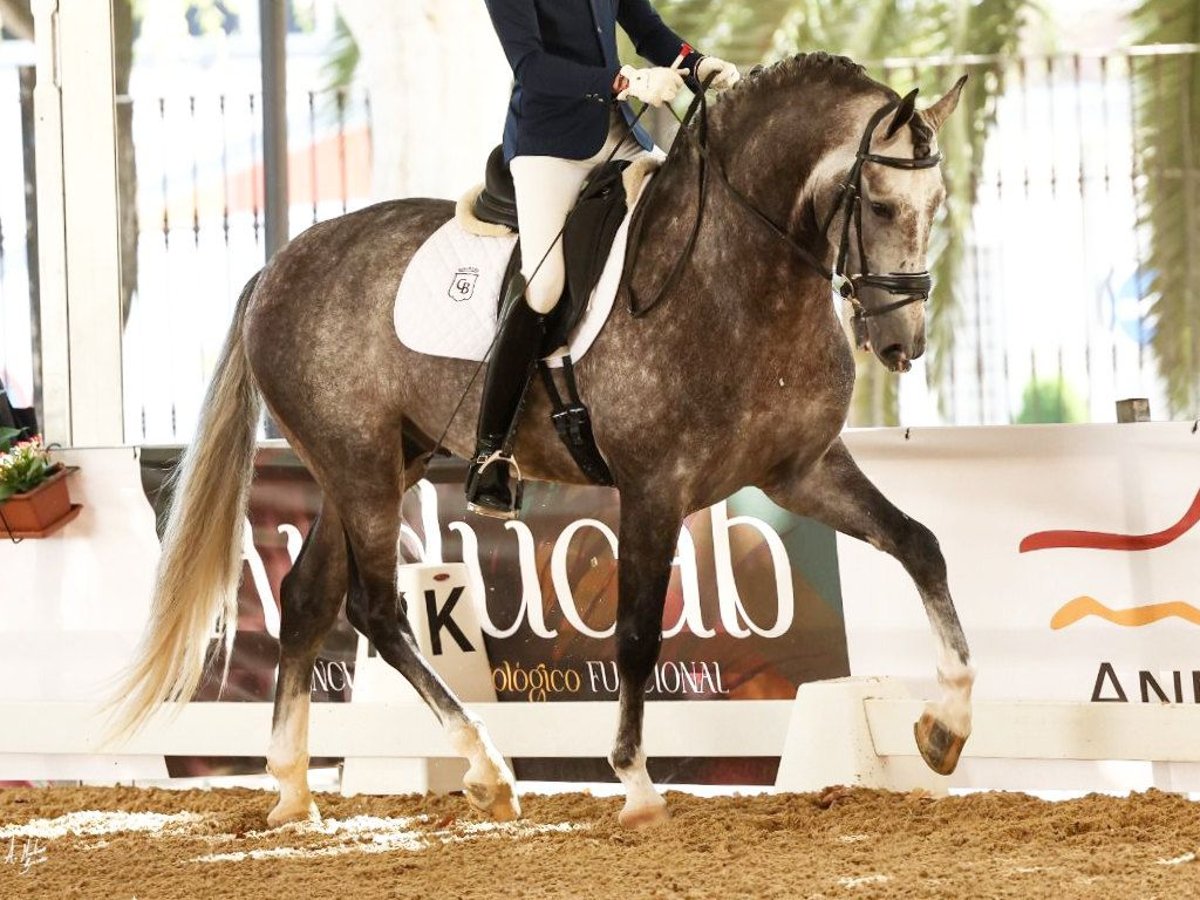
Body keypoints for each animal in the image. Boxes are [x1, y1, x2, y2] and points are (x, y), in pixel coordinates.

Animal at [111, 52, 973, 829]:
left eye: (938, 203)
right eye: (882, 205)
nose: (902, 344)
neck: (736, 275)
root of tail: (279, 266)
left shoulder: (802, 470)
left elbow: (921, 545)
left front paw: (946, 727)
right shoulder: (656, 489)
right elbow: (636, 636)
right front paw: (636, 788)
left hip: (374, 464)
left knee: (305, 600)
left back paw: (294, 793)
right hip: (358, 467)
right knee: (376, 609)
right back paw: (486, 771)